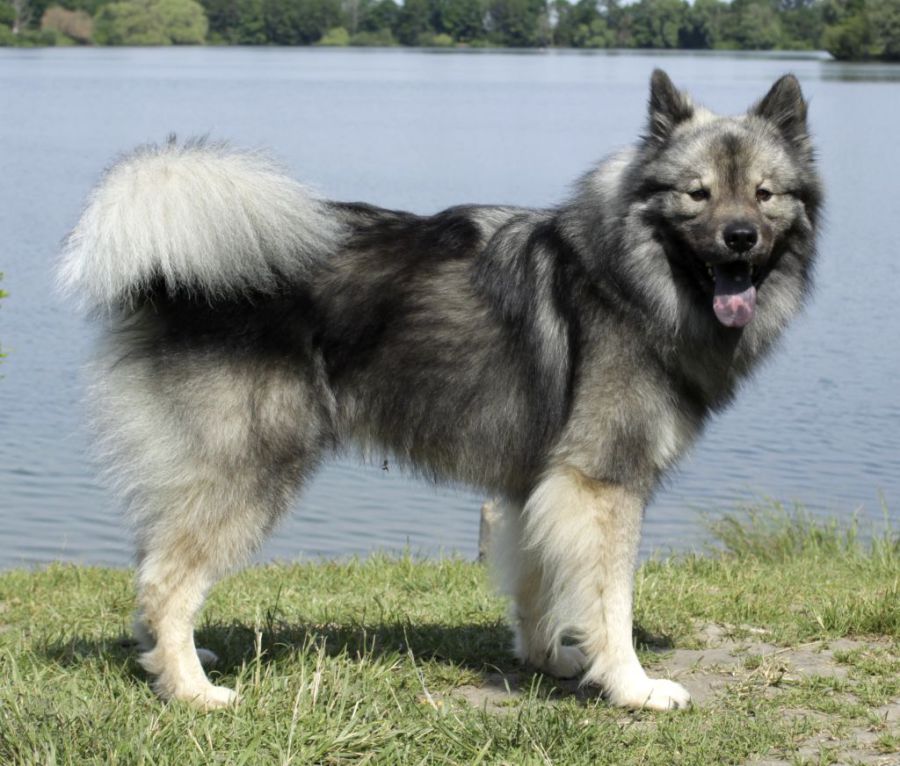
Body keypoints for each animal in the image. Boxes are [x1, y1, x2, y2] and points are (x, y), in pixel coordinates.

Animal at [60, 70, 821, 711]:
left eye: (765, 193)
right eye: (697, 193)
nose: (740, 238)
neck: (627, 276)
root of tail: (170, 272)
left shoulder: (537, 484)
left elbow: (537, 582)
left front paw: (547, 660)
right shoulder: (602, 483)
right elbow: (610, 602)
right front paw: (632, 687)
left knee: (150, 560)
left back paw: (163, 662)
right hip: (249, 466)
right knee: (166, 580)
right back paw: (193, 690)